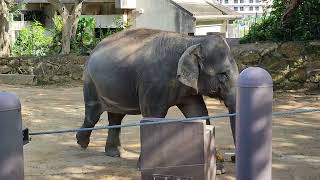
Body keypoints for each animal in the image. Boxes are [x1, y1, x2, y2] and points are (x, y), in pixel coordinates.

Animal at [76, 28, 239, 174]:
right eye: (223, 75)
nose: (233, 158)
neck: (191, 41)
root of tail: (94, 49)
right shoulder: (152, 84)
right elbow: (153, 116)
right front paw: (144, 168)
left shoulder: (187, 88)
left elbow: (198, 113)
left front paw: (218, 170)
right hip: (90, 81)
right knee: (93, 113)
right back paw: (81, 143)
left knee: (116, 116)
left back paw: (114, 153)